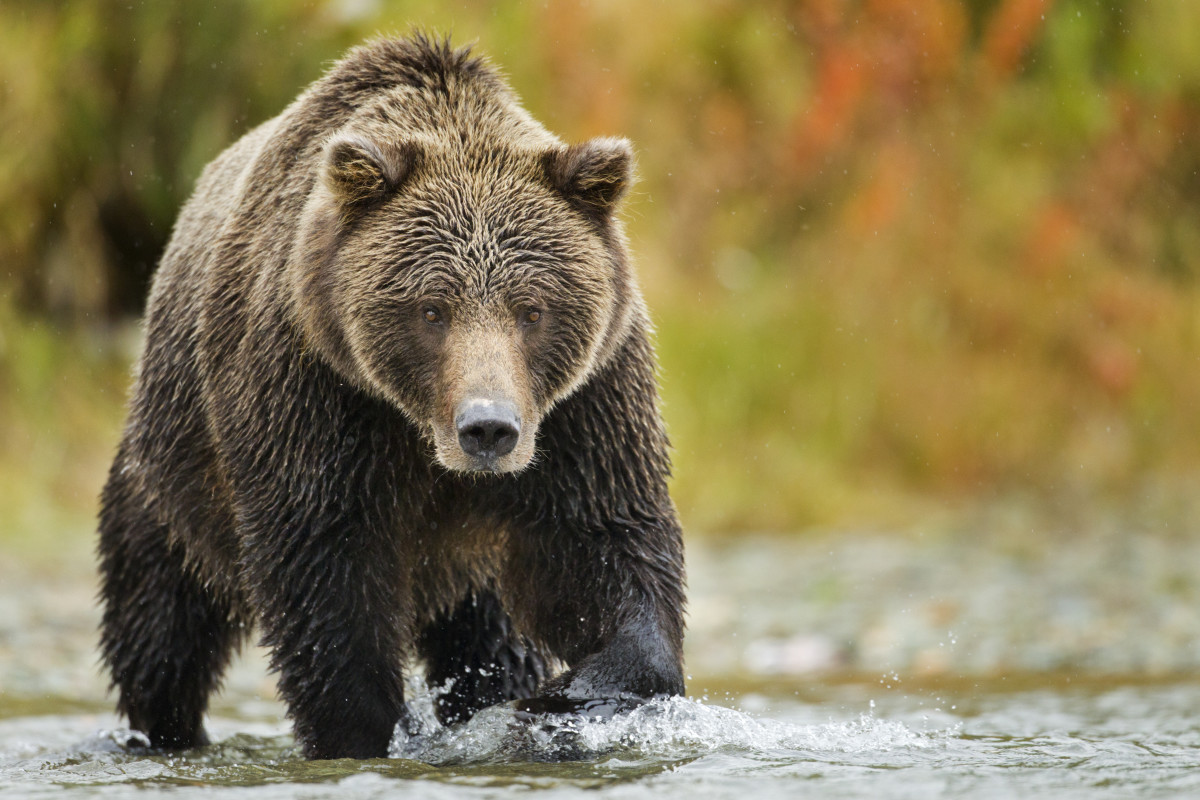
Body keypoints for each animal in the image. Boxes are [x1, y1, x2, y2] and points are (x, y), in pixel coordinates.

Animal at [96, 34, 686, 761]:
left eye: (532, 310)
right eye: (432, 310)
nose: (487, 428)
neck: (419, 433)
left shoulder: (585, 406)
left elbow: (604, 545)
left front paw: (569, 693)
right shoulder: (312, 391)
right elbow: (326, 574)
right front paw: (364, 728)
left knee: (490, 640)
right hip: (171, 475)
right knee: (160, 626)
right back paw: (166, 729)